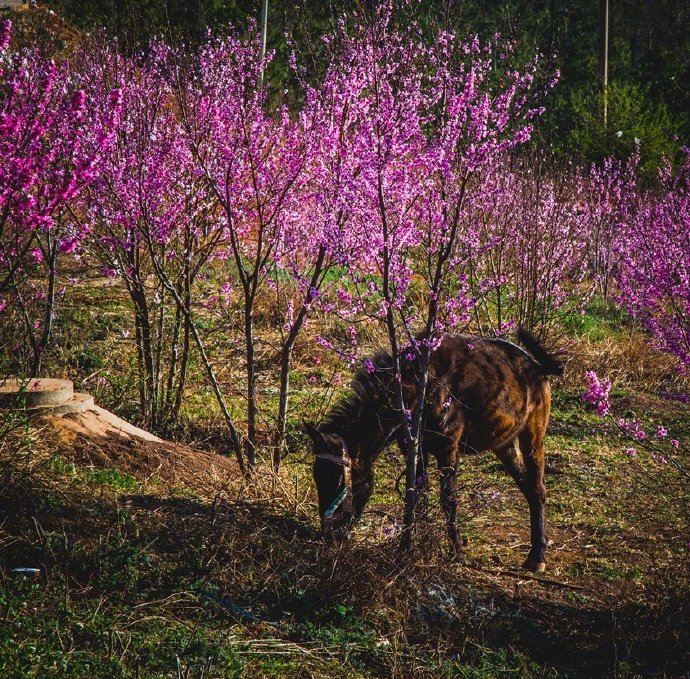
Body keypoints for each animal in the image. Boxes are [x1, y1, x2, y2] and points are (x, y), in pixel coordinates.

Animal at [304, 326, 560, 572]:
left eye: (337, 480)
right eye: (317, 477)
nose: (329, 535)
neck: (419, 387)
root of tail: (538, 367)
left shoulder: (448, 449)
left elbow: (448, 500)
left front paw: (456, 552)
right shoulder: (414, 449)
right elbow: (417, 496)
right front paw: (408, 547)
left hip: (533, 435)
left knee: (538, 488)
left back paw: (537, 556)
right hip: (504, 444)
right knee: (527, 487)